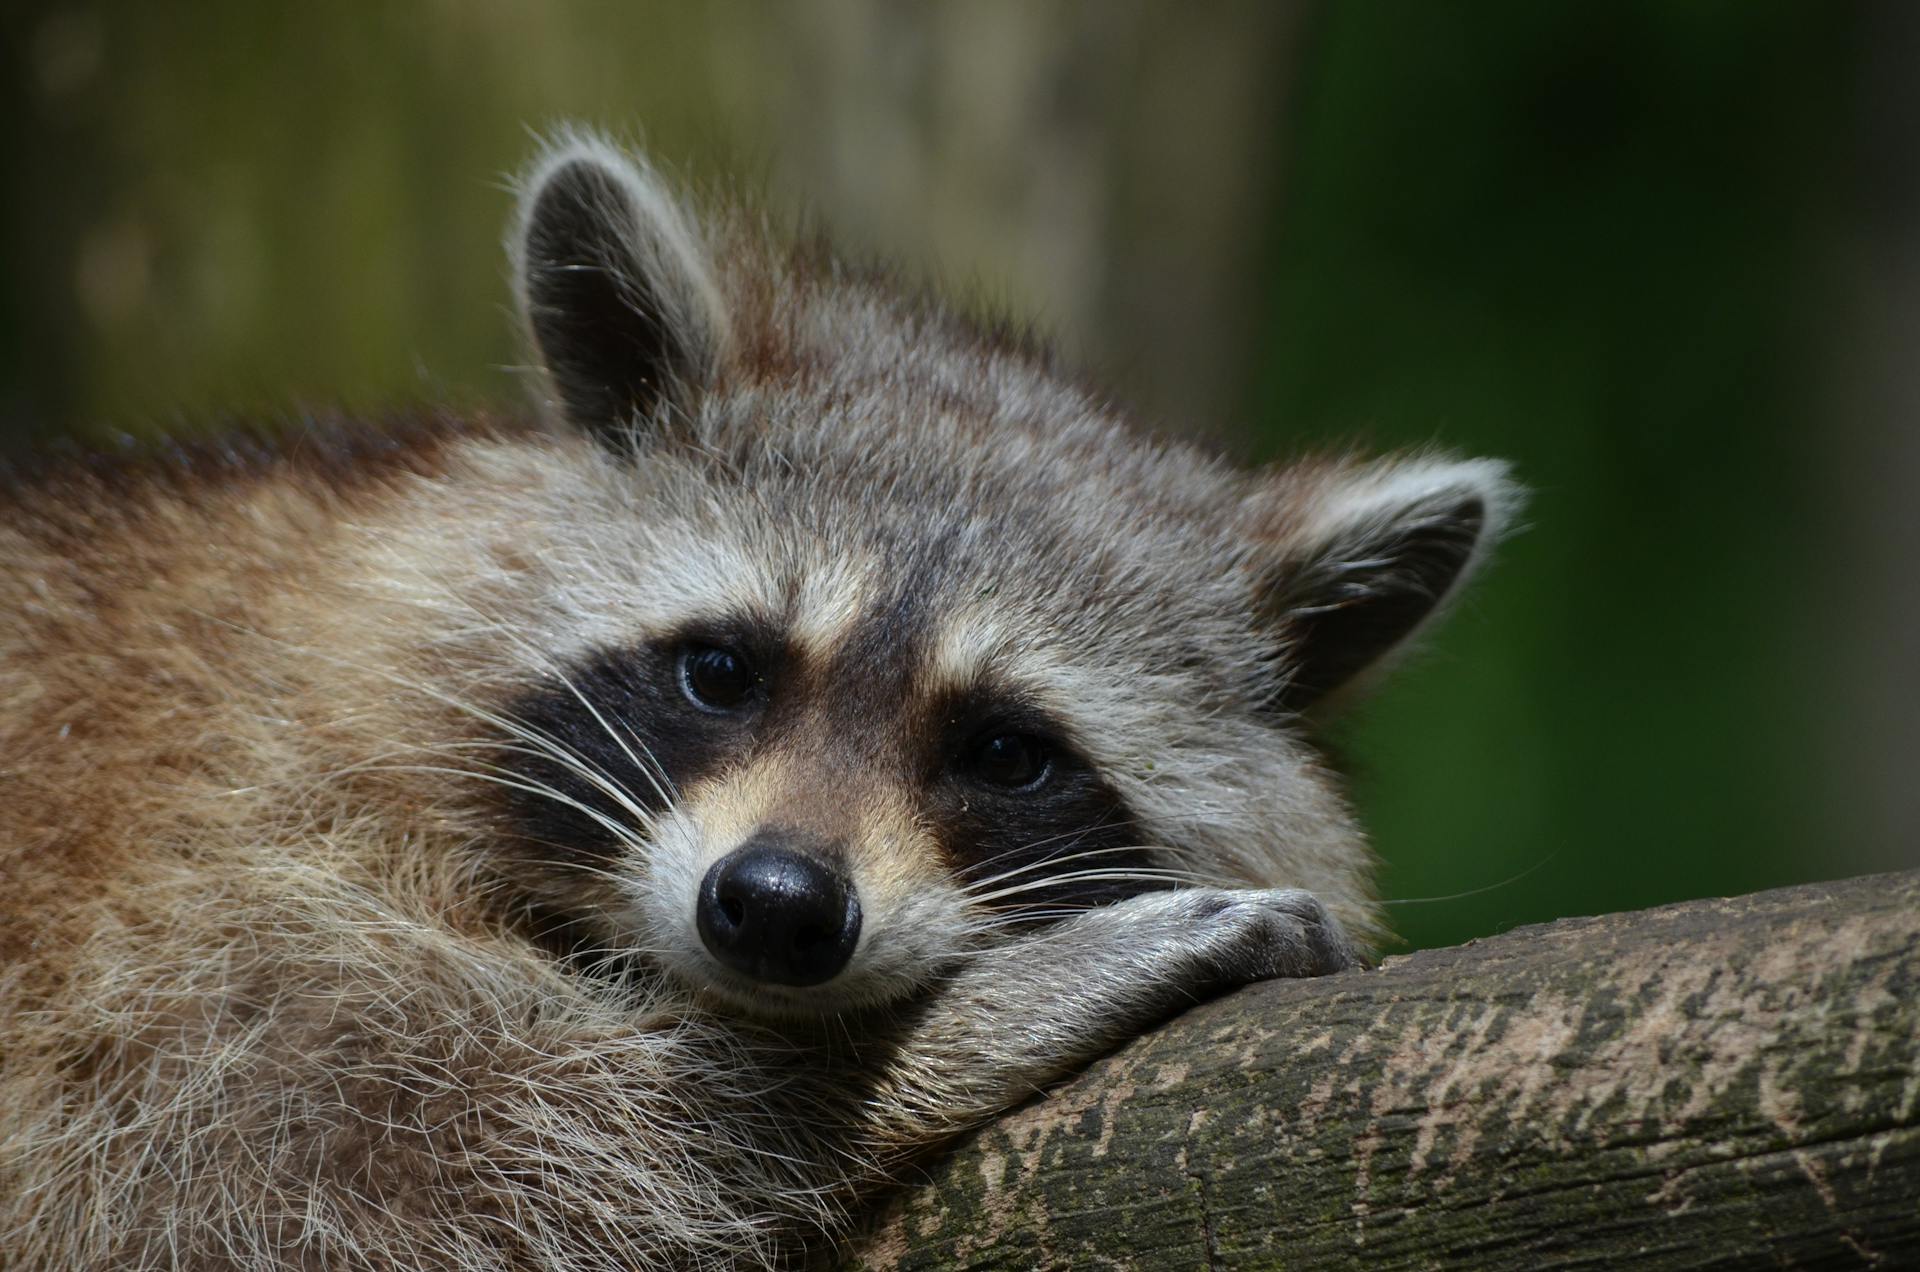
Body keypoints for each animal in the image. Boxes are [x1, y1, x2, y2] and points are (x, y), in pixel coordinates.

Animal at [0, 134, 1512, 1268]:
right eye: (722, 671)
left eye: (1007, 752)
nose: (778, 907)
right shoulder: (192, 886)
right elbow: (348, 1159)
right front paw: (927, 1043)